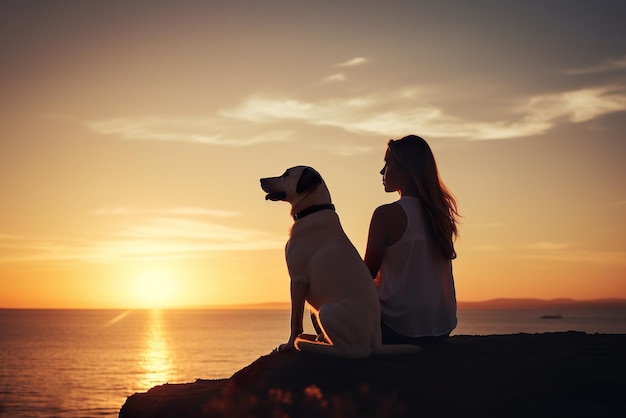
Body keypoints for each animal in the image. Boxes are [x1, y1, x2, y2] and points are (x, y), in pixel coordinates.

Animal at [258, 165, 420, 358]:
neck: (313, 209)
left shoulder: (297, 280)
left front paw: (289, 345)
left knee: (352, 351)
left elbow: (294, 321)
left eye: (287, 174)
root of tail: (374, 341)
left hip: (327, 311)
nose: (261, 180)